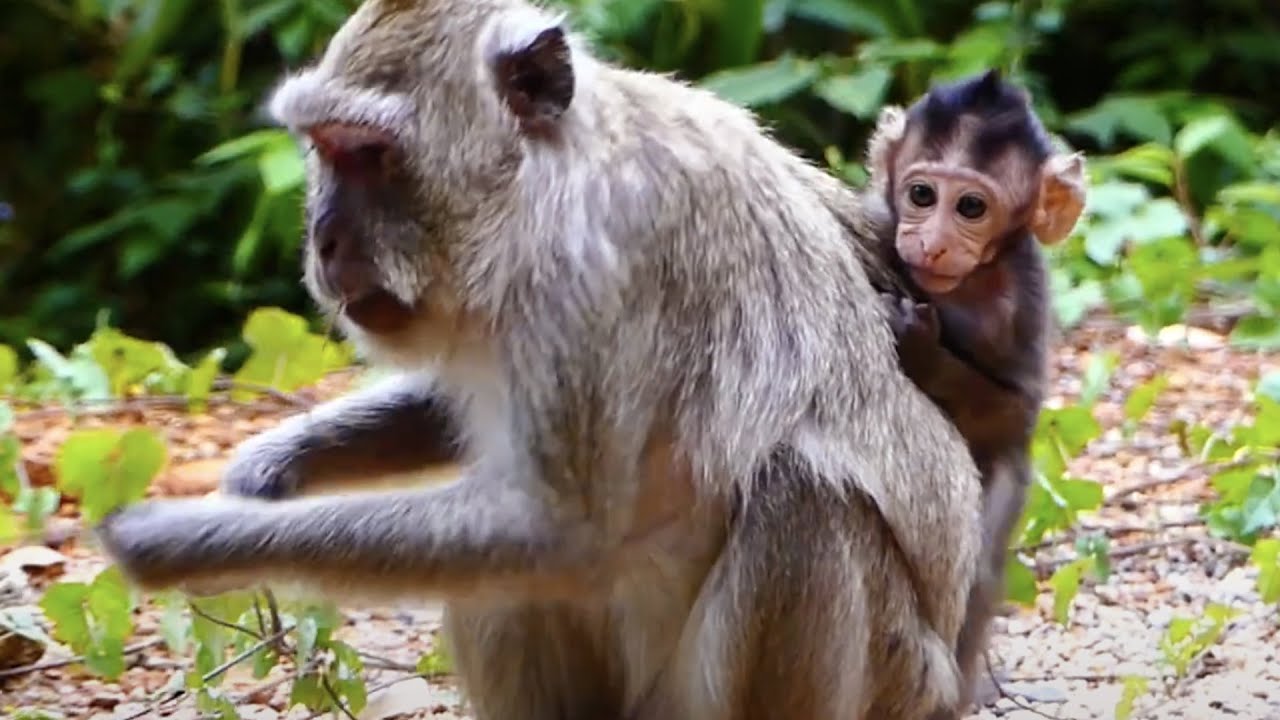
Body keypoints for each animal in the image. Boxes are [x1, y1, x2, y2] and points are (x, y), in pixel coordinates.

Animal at [91, 2, 986, 718]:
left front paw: (192, 540)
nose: (326, 238)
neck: (538, 182)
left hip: (888, 681)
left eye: (368, 153)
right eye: (322, 148)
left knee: (800, 497)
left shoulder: (591, 260)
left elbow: (555, 532)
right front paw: (269, 466)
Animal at [863, 69, 1087, 716]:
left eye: (970, 206)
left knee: (980, 566)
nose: (933, 243)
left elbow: (1016, 412)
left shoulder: (1021, 298)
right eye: (920, 195)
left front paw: (920, 346)